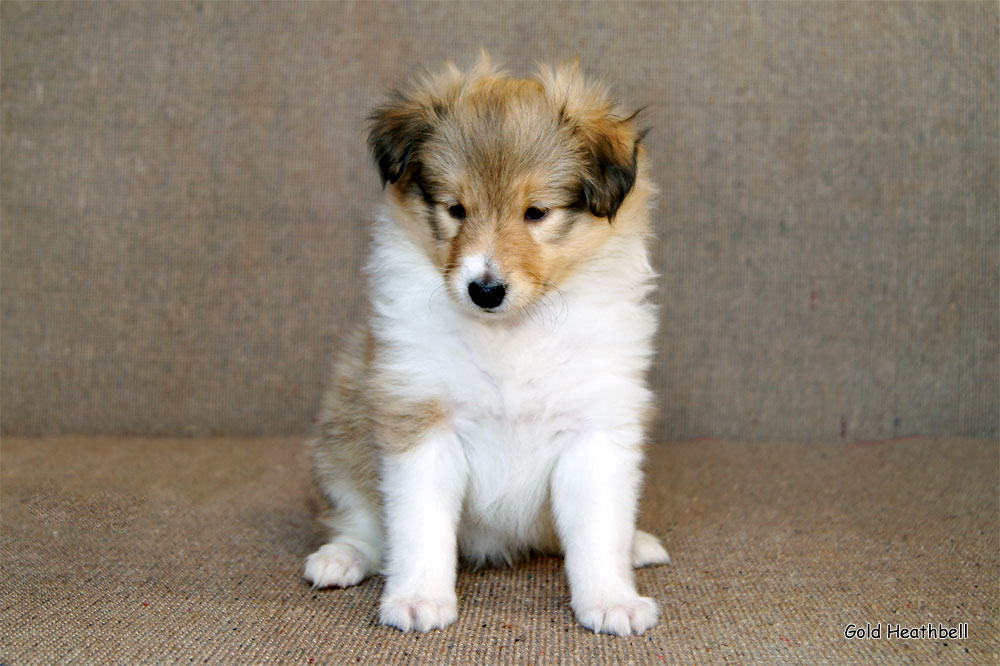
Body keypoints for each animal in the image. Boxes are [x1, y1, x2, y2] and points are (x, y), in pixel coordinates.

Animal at [300, 54, 668, 636]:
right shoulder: (420, 419)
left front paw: (612, 602)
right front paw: (418, 599)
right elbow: (420, 526)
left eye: (536, 212)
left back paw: (638, 544)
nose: (485, 290)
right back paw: (341, 557)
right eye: (456, 208)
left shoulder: (595, 429)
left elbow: (597, 531)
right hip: (340, 435)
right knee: (363, 522)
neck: (509, 336)